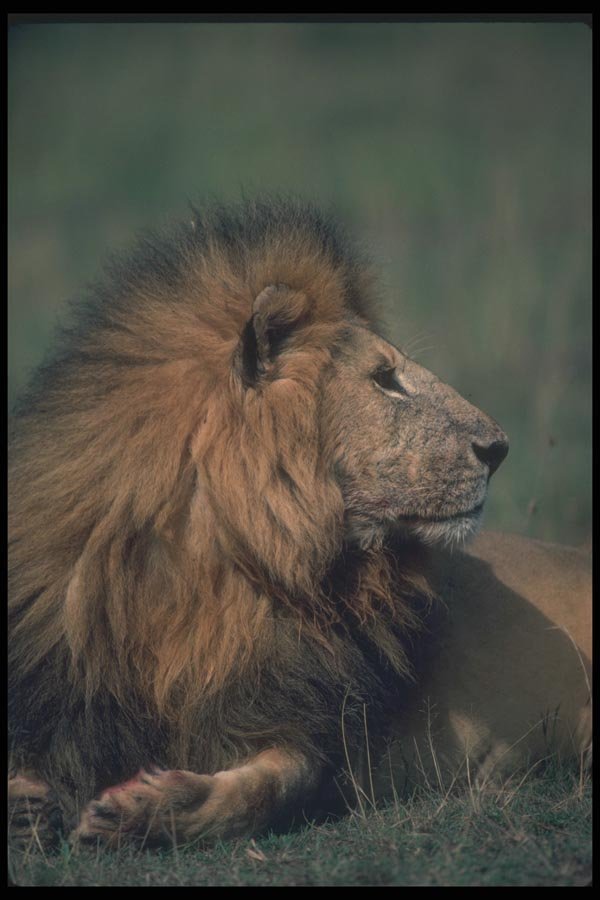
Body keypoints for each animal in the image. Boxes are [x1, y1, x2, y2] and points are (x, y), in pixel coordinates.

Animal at [8, 199, 591, 850]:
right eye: (385, 379)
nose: (499, 448)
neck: (210, 568)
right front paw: (32, 804)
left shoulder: (316, 727)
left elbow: (266, 792)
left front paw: (140, 809)